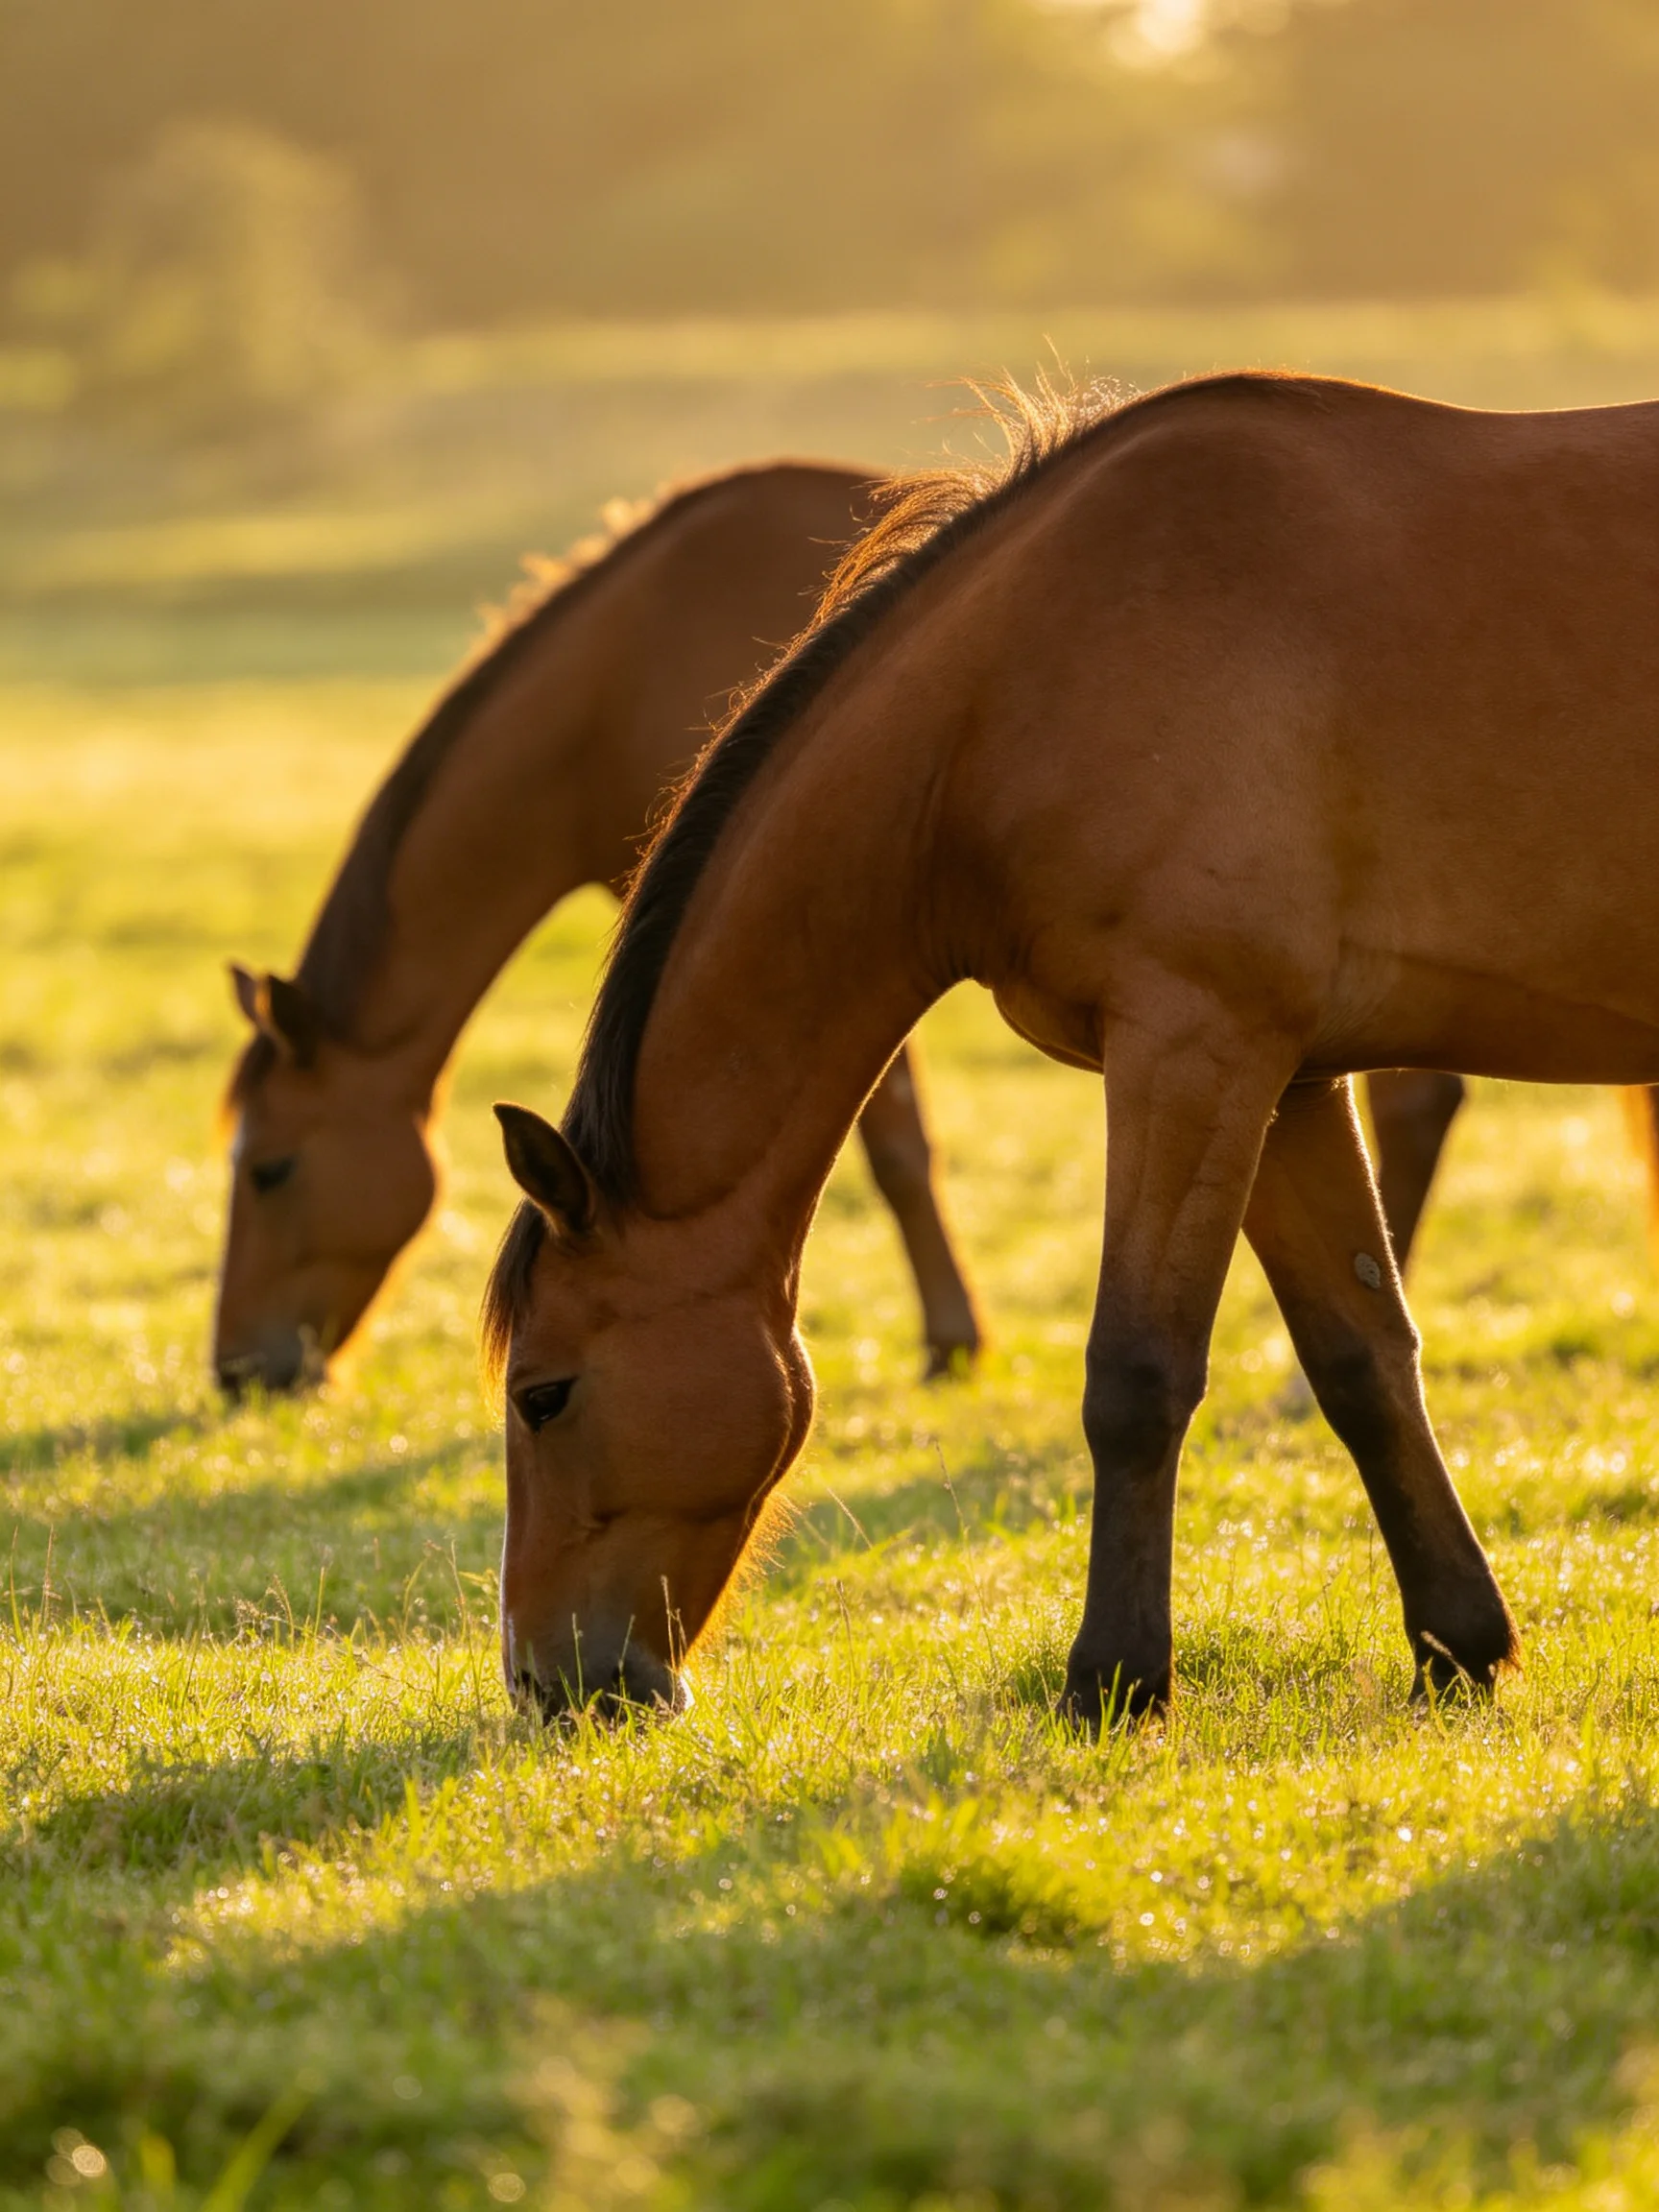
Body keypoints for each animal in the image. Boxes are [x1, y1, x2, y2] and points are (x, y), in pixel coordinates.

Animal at [484, 367, 1659, 1727]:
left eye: (543, 1395)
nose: (550, 1682)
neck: (1016, 692)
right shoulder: (1288, 1078)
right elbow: (1363, 1361)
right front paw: (1460, 1645)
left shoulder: (1191, 1051)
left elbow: (1136, 1376)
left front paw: (1116, 1675)